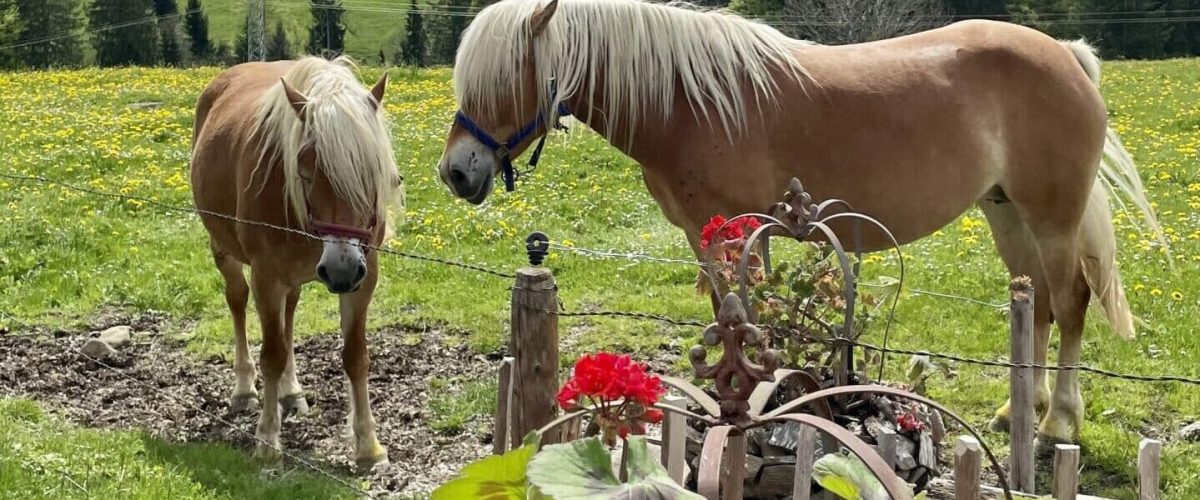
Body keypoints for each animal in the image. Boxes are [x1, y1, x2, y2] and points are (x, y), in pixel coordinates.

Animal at [191, 56, 402, 467]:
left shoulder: (364, 278)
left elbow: (356, 356)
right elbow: (271, 354)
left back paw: (290, 391)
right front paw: (267, 440)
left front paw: (368, 445)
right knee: (237, 301)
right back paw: (244, 388)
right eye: (305, 167)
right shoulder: (266, 277)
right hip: (224, 252)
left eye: (373, 171)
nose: (340, 269)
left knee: (290, 312)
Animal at [437, 0, 1162, 447]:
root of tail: (1067, 55)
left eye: (506, 77)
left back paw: (1058, 423)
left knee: (1069, 303)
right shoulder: (707, 237)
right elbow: (730, 315)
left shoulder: (739, 232)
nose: (456, 173)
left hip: (1052, 215)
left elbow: (751, 320)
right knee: (1034, 304)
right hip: (1006, 212)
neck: (689, 100)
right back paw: (1020, 410)